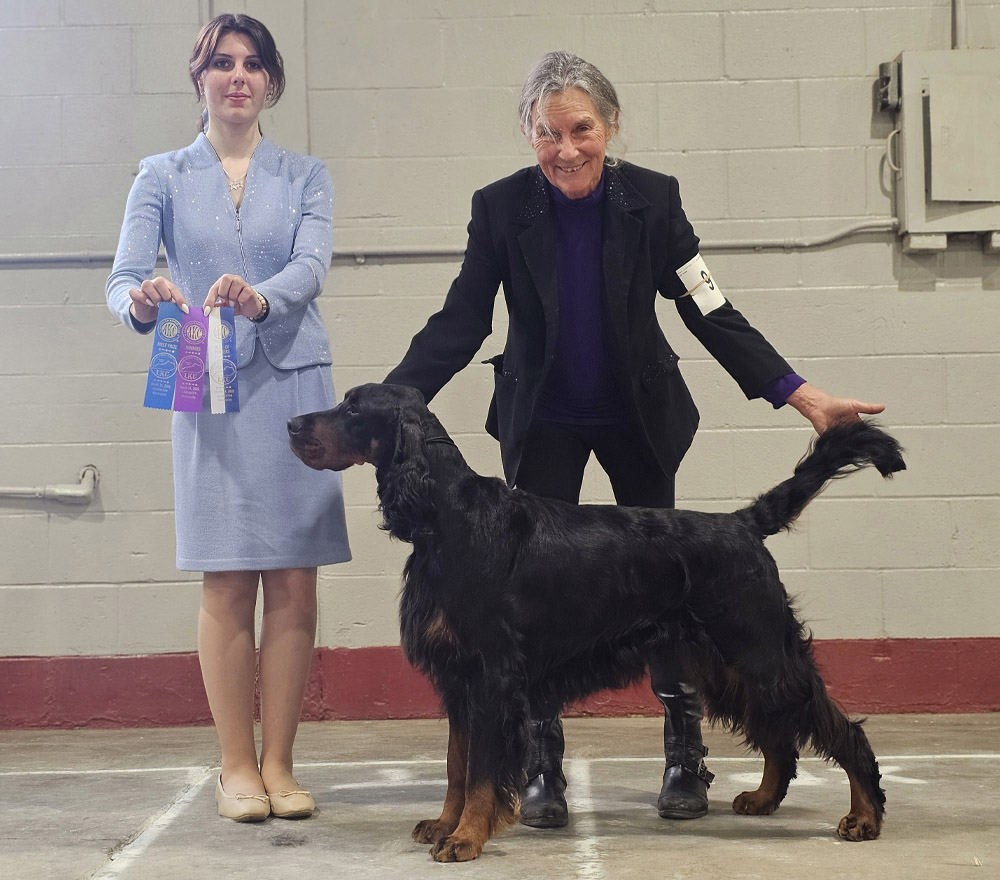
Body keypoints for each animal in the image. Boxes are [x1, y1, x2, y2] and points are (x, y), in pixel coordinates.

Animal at [288, 382, 905, 862]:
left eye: (351, 407)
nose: (291, 422)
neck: (447, 520)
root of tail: (743, 523)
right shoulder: (459, 679)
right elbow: (456, 763)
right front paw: (444, 823)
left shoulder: (492, 676)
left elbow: (482, 767)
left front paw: (466, 837)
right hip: (730, 661)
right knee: (778, 730)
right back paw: (763, 798)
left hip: (757, 648)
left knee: (838, 728)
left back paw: (864, 817)